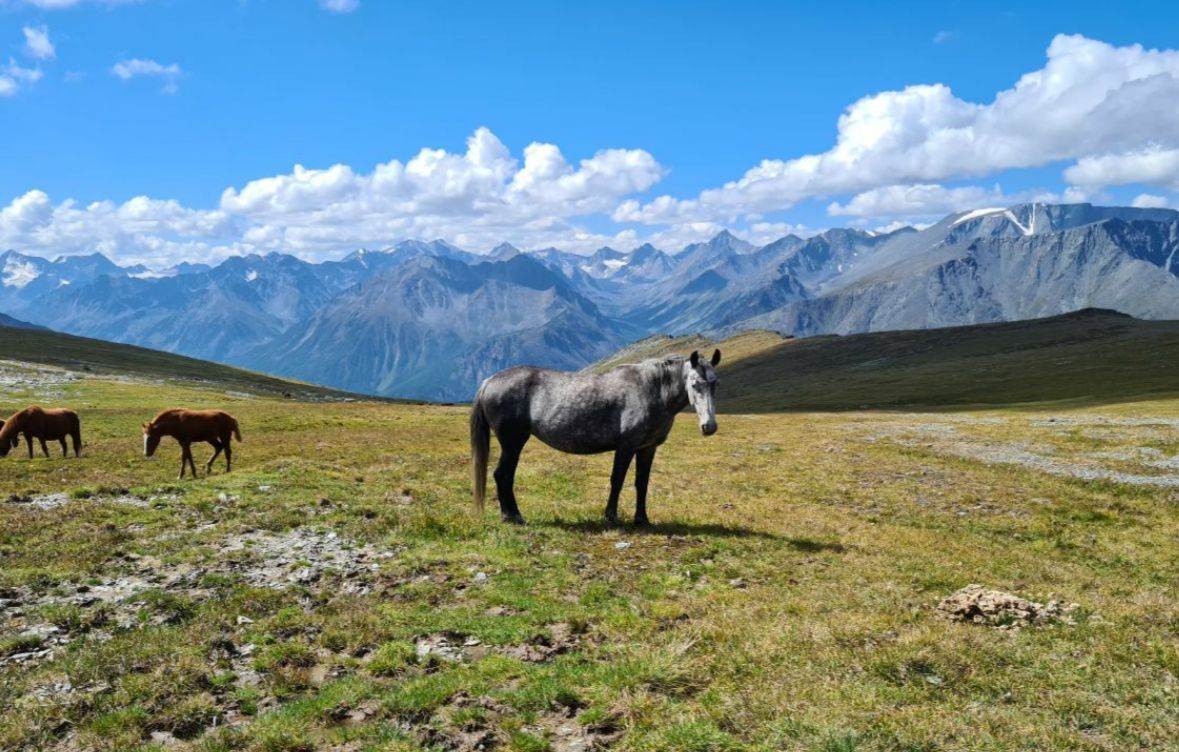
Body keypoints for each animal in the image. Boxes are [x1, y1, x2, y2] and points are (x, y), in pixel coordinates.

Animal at [471, 349, 721, 525]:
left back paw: (510, 515)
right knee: (503, 475)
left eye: (715, 384)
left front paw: (642, 519)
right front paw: (610, 516)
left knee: (503, 476)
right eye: (694, 384)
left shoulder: (647, 448)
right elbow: (617, 480)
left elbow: (642, 483)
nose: (709, 427)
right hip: (513, 443)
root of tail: (489, 381)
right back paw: (513, 516)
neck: (652, 390)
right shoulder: (626, 447)